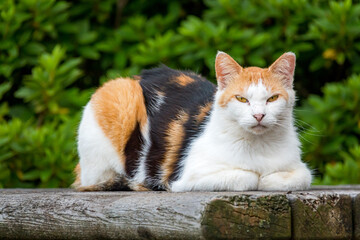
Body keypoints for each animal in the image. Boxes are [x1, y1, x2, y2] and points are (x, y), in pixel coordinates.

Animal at [74, 51, 312, 191]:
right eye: (241, 99)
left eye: (272, 98)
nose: (259, 115)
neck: (258, 146)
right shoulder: (186, 177)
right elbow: (248, 177)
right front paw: (260, 178)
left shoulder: (299, 168)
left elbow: (301, 176)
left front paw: (270, 178)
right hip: (119, 97)